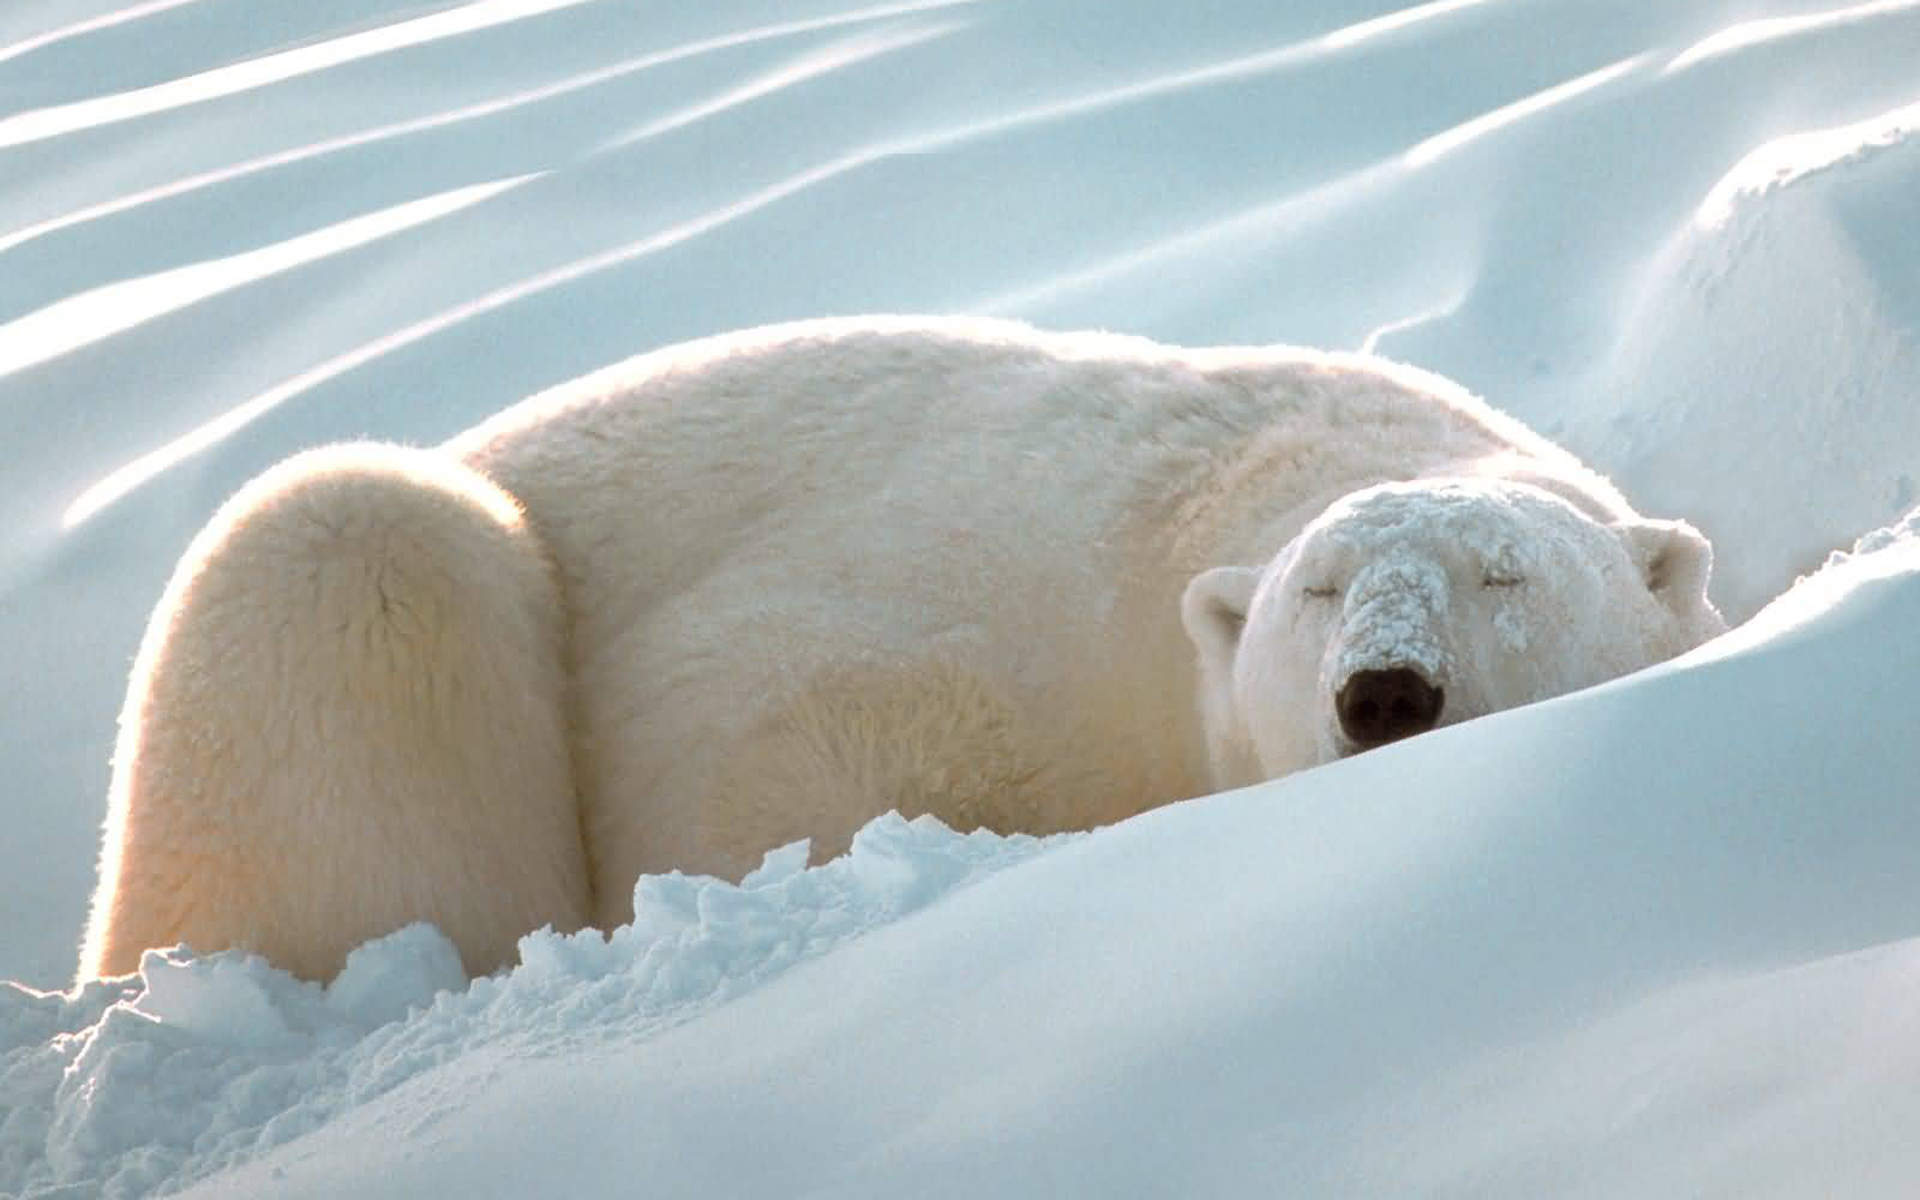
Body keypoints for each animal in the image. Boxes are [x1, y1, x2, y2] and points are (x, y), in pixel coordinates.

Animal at [78, 315, 1725, 983]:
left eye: (1505, 572)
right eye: (1321, 591)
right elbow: (770, 746)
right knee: (347, 541)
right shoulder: (983, 620)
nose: (1386, 691)